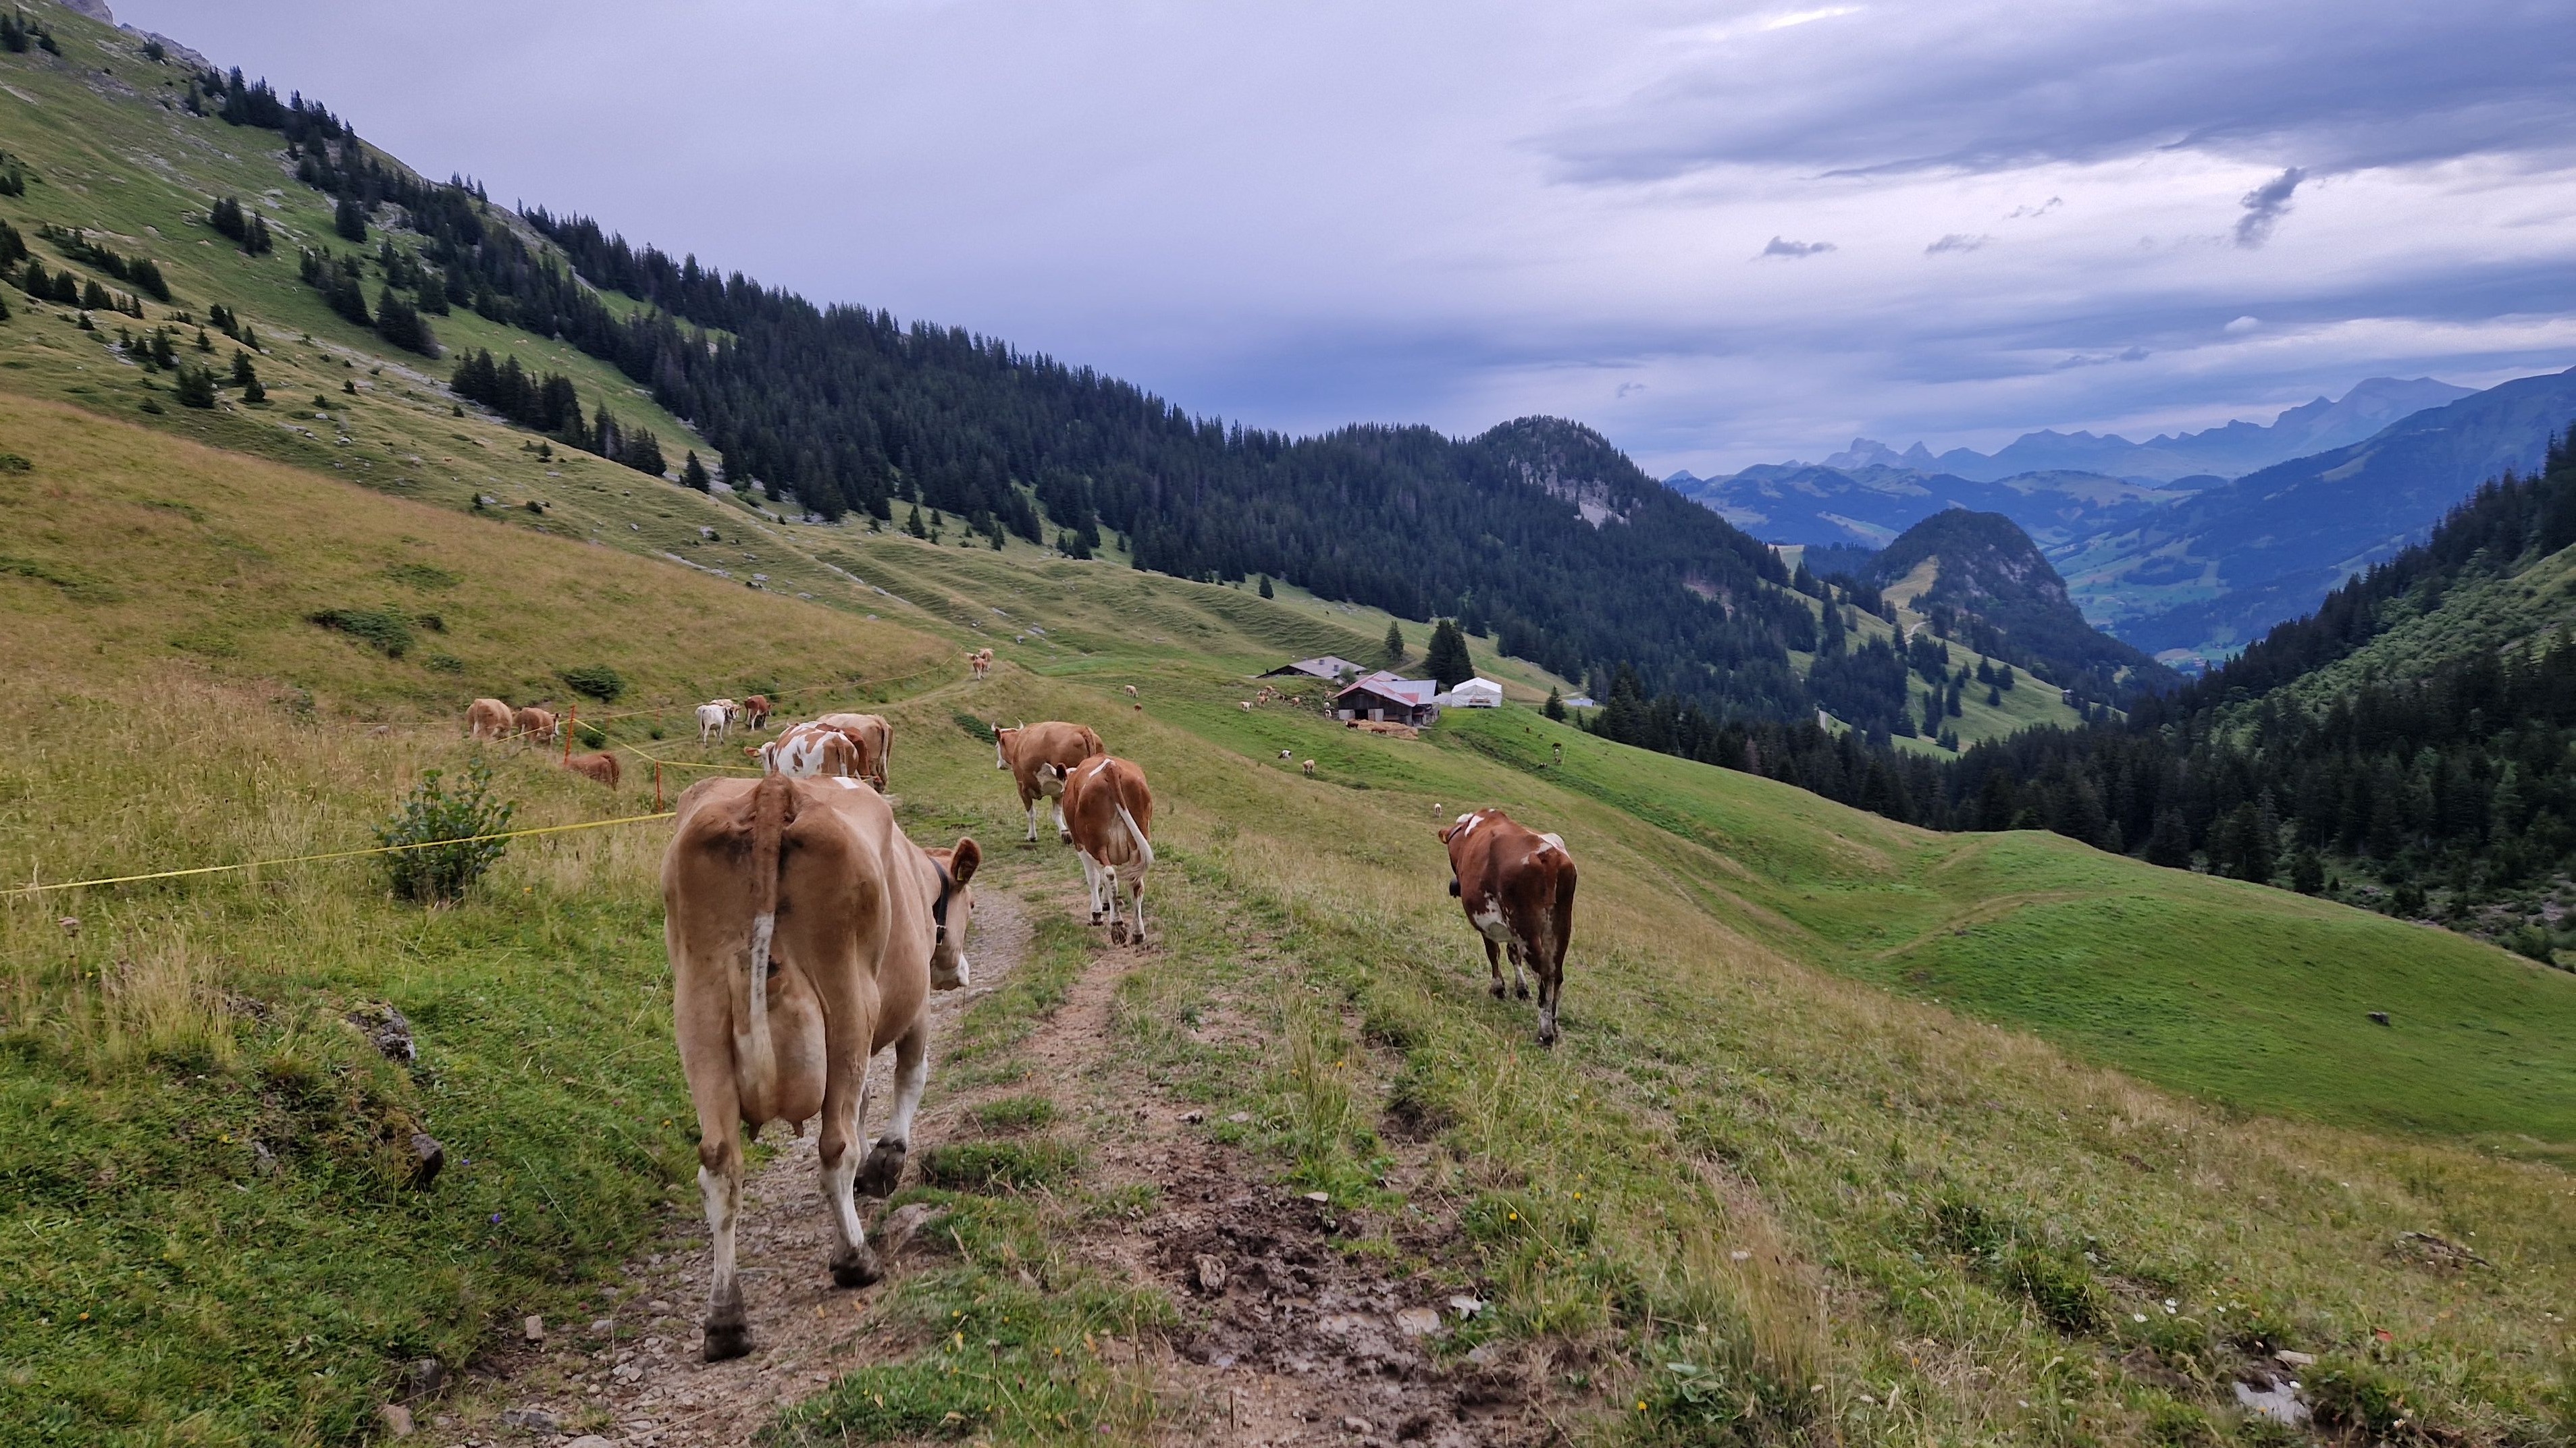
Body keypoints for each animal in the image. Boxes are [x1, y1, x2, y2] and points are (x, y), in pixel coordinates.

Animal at [662, 772, 980, 1360]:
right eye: (971, 903)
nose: (960, 970)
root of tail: (773, 790)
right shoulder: (915, 1008)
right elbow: (907, 1080)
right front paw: (886, 1163)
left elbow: (863, 1101)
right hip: (848, 999)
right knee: (835, 1146)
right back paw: (855, 1258)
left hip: (698, 1012)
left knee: (720, 1163)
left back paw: (725, 1320)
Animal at [993, 721, 1104, 842]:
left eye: (997, 746)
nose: (999, 764)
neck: (1018, 743)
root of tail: (1082, 729)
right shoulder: (1057, 792)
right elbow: (1057, 813)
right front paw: (1064, 833)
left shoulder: (1022, 787)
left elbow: (1031, 813)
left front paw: (1032, 836)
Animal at [1055, 754, 1155, 946]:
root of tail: (1111, 767)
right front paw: (1106, 904)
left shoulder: (1080, 845)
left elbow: (1094, 879)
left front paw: (1096, 913)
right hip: (1137, 844)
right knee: (1136, 884)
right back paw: (1138, 932)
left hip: (1095, 845)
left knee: (1110, 877)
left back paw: (1117, 926)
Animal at [1438, 808, 1577, 1046]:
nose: (1453, 886)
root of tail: (1550, 856)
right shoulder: (1511, 930)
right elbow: (1513, 954)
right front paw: (1521, 989)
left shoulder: (1486, 922)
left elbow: (1492, 953)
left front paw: (1498, 988)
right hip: (1559, 929)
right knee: (1557, 976)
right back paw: (1555, 1025)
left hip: (1526, 928)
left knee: (1546, 976)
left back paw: (1545, 1033)